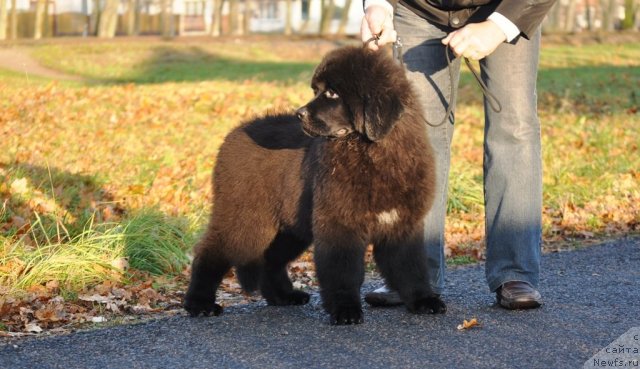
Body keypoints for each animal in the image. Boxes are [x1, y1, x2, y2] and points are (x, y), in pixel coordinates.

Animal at [185, 45, 444, 322]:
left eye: (332, 93)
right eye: (316, 90)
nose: (299, 113)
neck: (373, 153)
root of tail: (234, 133)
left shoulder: (401, 224)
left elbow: (411, 268)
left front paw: (424, 300)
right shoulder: (339, 221)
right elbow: (343, 271)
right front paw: (345, 310)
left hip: (290, 226)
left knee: (270, 259)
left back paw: (284, 296)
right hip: (246, 217)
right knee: (211, 251)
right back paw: (199, 303)